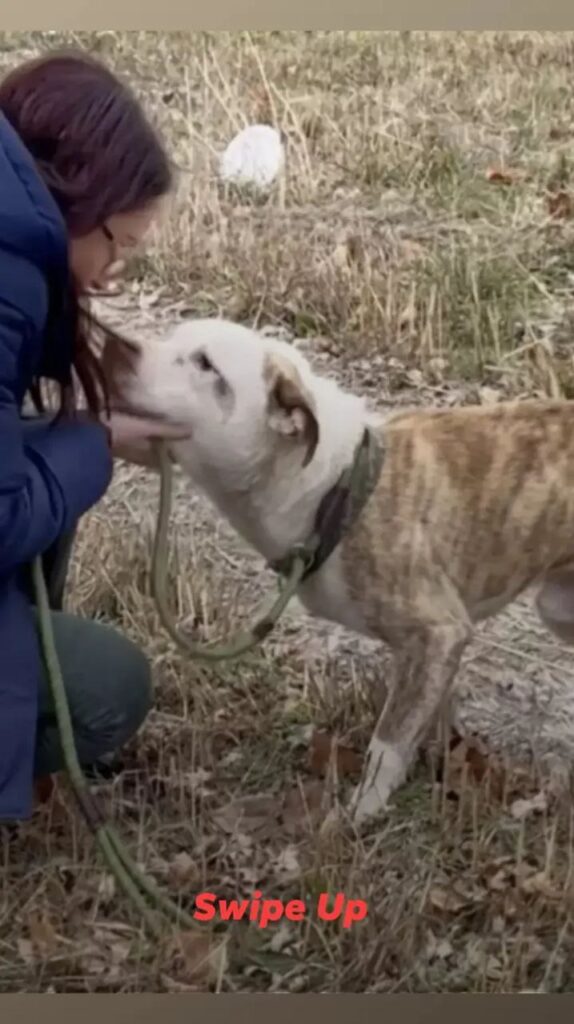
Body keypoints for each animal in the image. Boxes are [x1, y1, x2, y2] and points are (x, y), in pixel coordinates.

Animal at [102, 317, 574, 827]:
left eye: (206, 364)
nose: (114, 347)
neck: (331, 485)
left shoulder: (438, 632)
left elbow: (388, 741)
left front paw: (361, 812)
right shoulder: (436, 653)